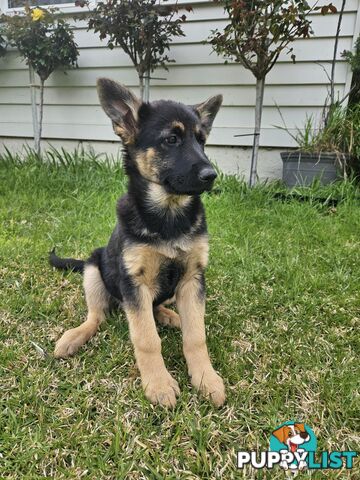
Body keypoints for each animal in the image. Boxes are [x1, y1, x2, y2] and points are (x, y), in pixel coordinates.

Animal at [50, 77, 225, 406]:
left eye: (202, 141)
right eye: (172, 139)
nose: (212, 175)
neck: (169, 215)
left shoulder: (194, 278)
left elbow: (196, 336)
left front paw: (206, 378)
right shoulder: (134, 282)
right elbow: (146, 338)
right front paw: (159, 383)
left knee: (156, 308)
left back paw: (170, 315)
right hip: (94, 270)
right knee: (97, 316)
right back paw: (75, 336)